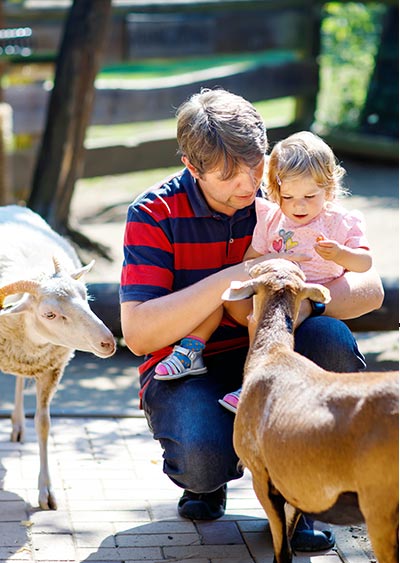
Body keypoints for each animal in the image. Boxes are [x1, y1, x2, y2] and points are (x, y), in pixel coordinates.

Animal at [0, 205, 115, 508]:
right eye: (49, 314)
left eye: (86, 295)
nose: (109, 342)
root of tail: (13, 206)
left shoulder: (51, 368)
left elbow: (43, 424)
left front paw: (46, 492)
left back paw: (18, 424)